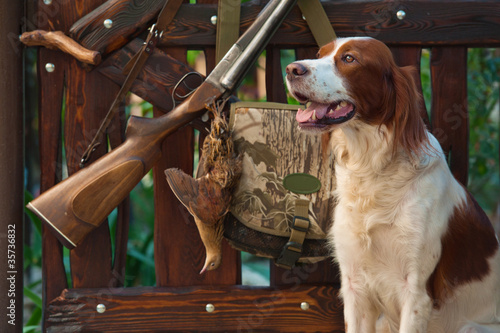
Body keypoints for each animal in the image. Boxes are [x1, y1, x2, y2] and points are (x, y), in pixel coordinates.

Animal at [286, 36, 500, 332]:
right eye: (319, 54)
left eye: (349, 58)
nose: (291, 69)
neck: (371, 170)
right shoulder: (354, 287)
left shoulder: (416, 293)